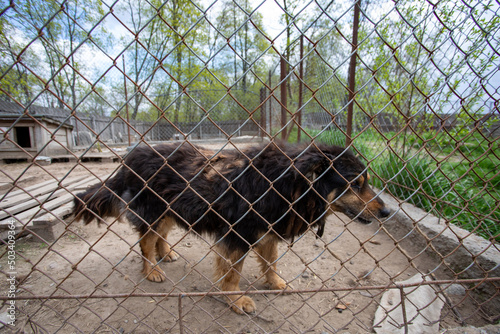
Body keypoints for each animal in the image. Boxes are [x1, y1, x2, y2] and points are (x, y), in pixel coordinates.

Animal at [71, 141, 390, 314]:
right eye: (355, 184)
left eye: (366, 182)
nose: (386, 211)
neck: (292, 184)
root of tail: (129, 158)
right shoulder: (238, 235)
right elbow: (233, 272)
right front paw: (235, 298)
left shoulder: (265, 231)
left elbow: (271, 262)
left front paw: (275, 283)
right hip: (152, 212)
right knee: (145, 243)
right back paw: (151, 270)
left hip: (170, 211)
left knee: (160, 236)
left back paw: (167, 254)